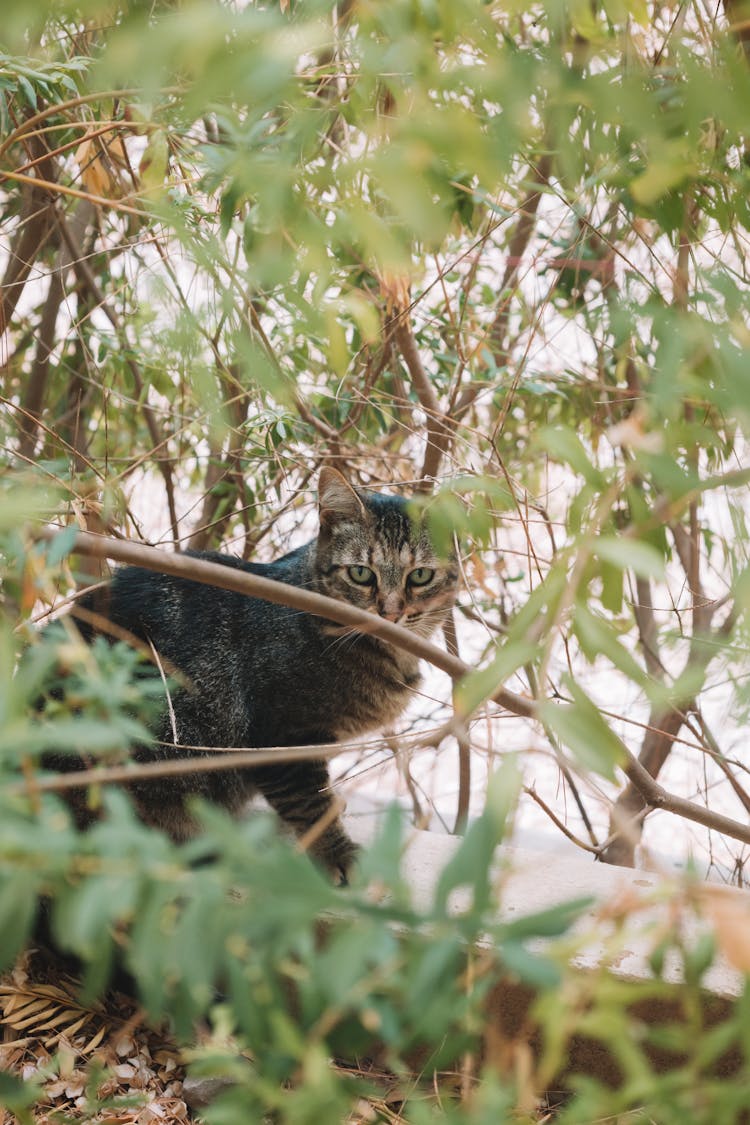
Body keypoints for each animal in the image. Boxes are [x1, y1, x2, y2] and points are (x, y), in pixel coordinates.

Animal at [52, 465, 458, 877]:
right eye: (361, 573)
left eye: (420, 576)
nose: (390, 614)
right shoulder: (282, 739)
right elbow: (310, 804)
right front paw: (339, 855)